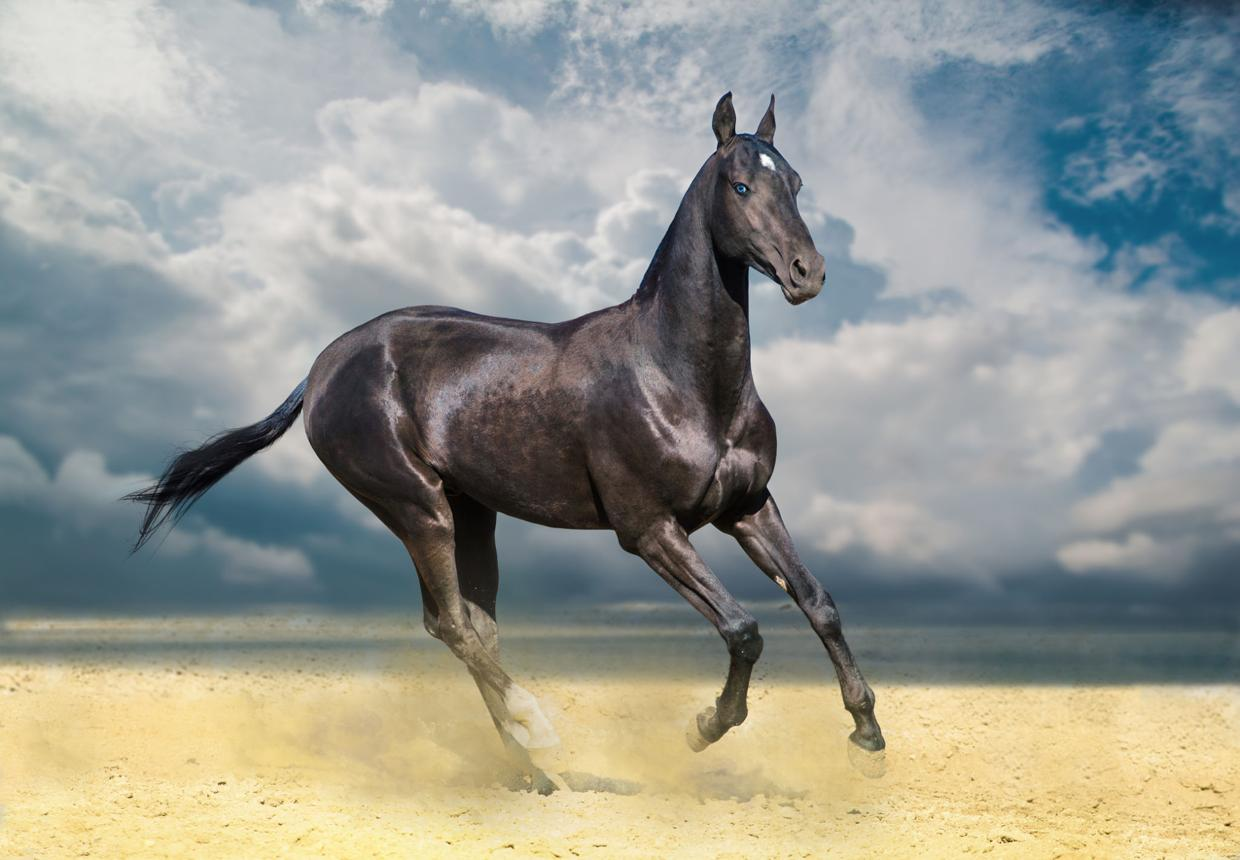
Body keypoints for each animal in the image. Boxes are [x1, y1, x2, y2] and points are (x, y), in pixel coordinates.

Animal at [127, 93, 886, 792]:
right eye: (739, 185)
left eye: (796, 182)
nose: (807, 272)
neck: (677, 375)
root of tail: (321, 368)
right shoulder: (647, 528)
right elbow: (742, 628)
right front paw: (704, 727)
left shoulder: (748, 508)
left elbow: (819, 602)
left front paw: (868, 737)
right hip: (417, 509)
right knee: (453, 627)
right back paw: (539, 730)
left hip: (472, 514)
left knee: (473, 626)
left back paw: (533, 768)